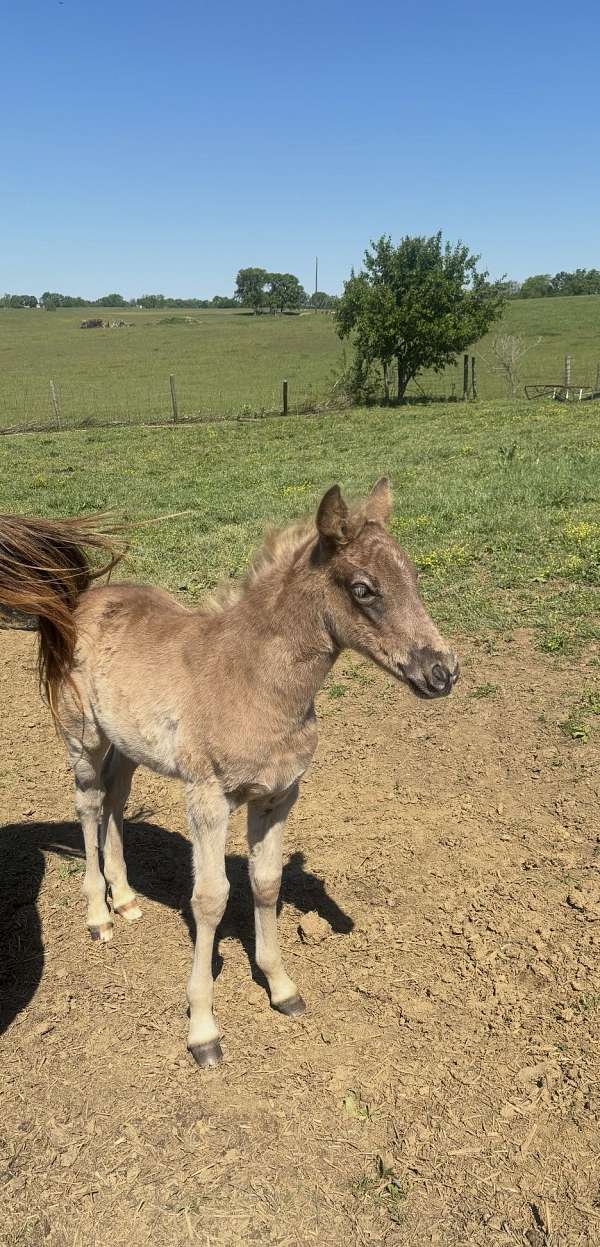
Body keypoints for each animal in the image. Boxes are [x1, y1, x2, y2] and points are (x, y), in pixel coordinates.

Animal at [0, 481, 459, 1067]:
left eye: (414, 578)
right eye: (364, 589)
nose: (442, 673)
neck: (254, 682)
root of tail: (78, 600)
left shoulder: (279, 796)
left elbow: (265, 883)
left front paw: (282, 987)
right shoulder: (208, 799)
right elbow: (211, 898)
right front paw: (203, 1029)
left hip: (129, 745)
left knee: (116, 800)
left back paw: (125, 898)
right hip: (83, 734)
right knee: (88, 802)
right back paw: (99, 915)